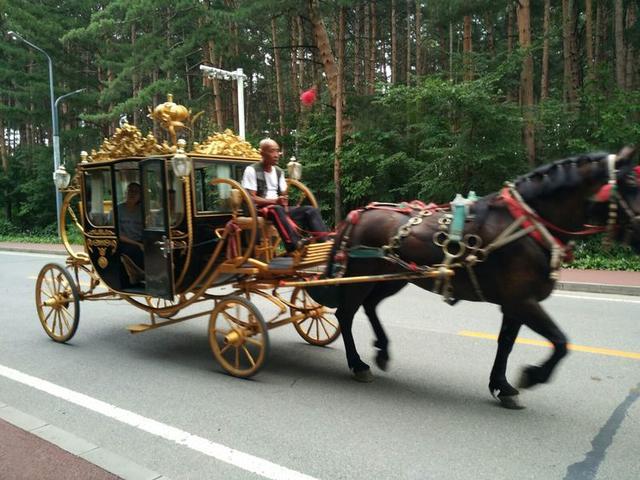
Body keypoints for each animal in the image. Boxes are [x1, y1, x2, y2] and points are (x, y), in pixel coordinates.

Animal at [328, 147, 640, 408]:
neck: (528, 226)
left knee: (369, 307)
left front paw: (503, 386)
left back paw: (382, 351)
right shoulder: (523, 301)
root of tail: (358, 214)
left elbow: (507, 343)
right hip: (363, 276)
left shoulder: (514, 304)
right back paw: (357, 363)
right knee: (346, 313)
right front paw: (532, 376)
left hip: (394, 277)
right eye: (632, 182)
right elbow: (561, 341)